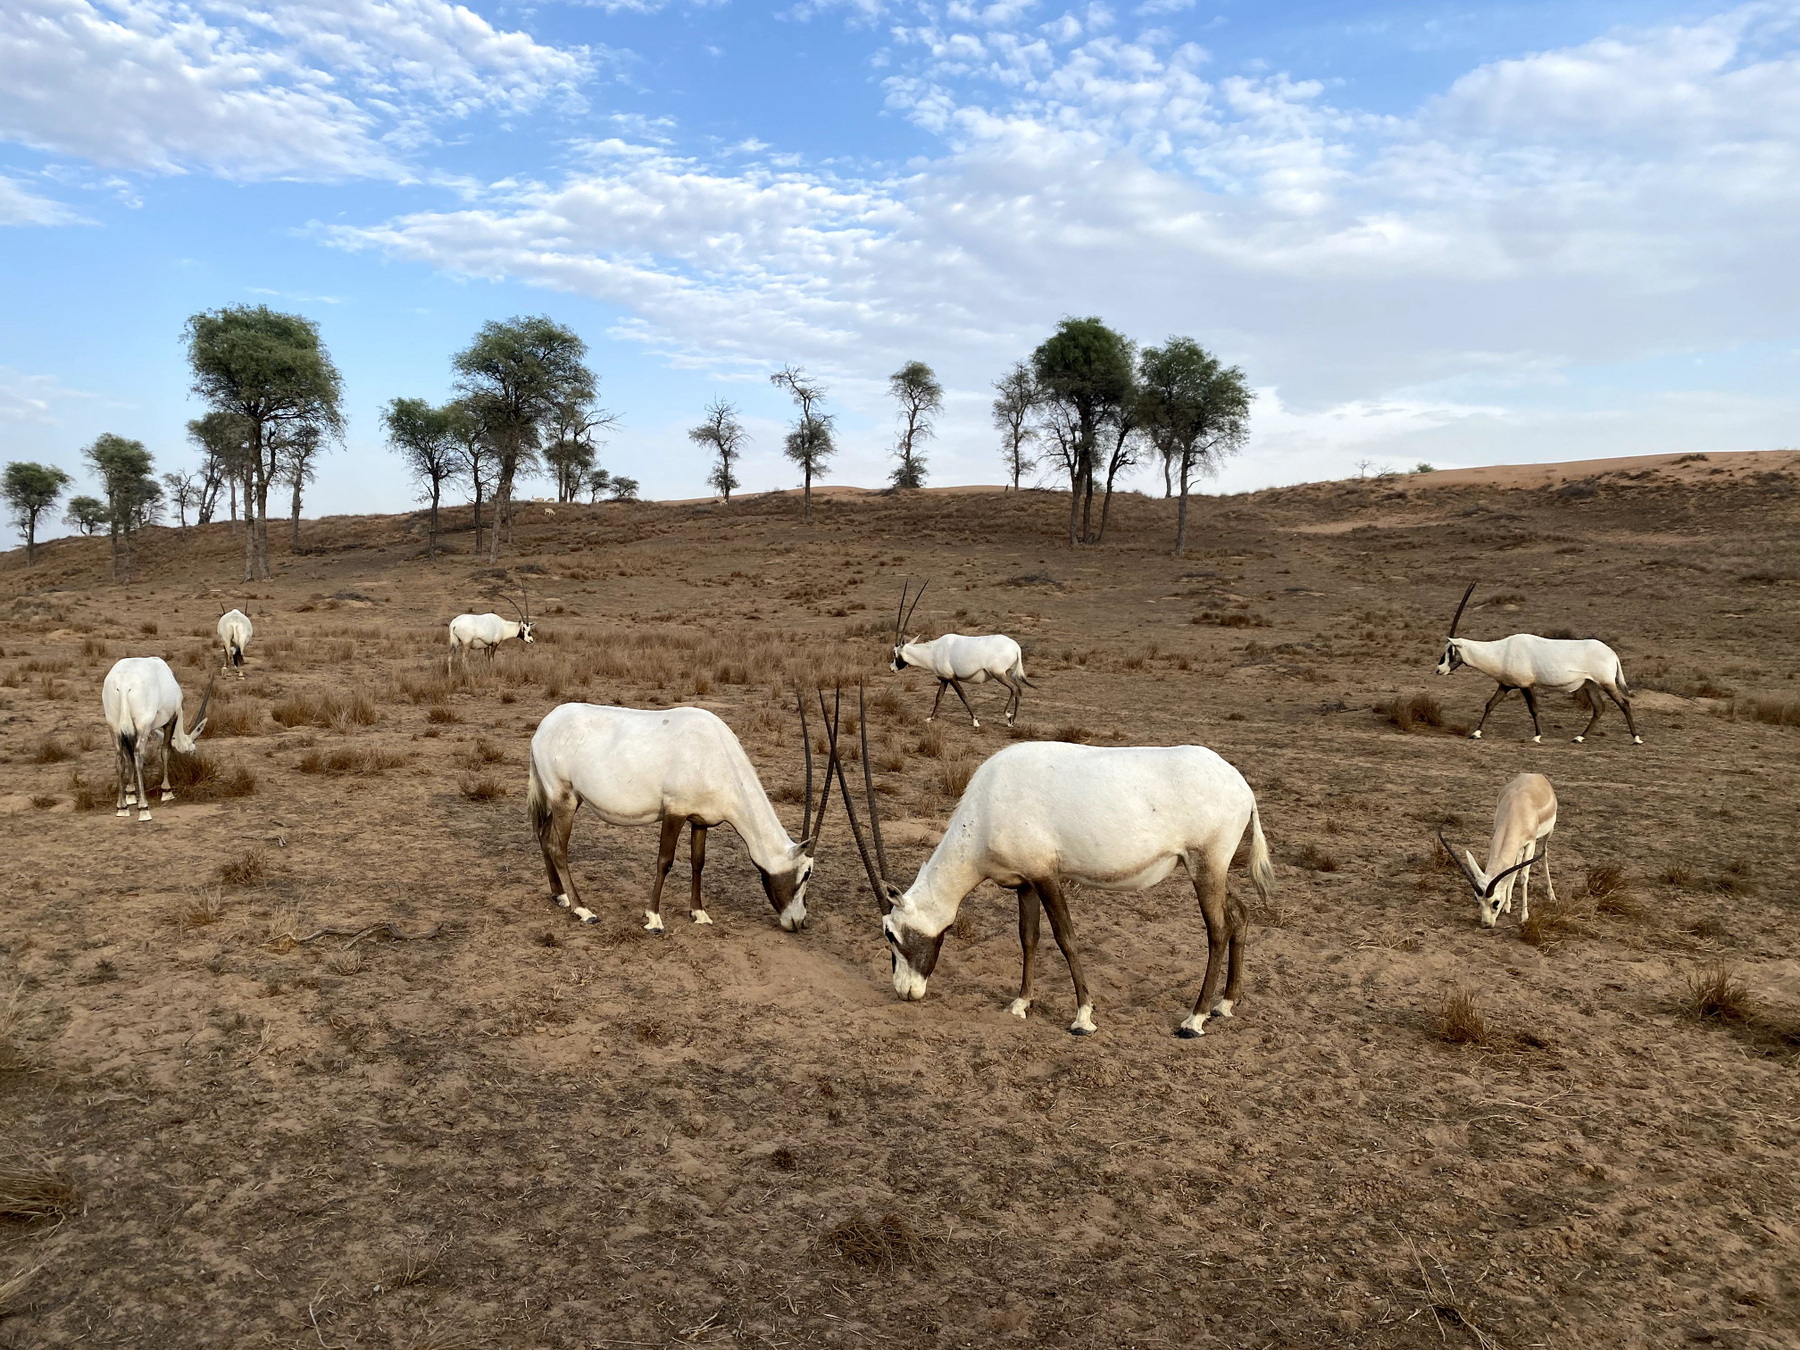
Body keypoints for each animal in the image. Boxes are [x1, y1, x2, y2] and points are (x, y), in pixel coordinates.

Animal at [882, 583, 1029, 730]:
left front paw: (975, 721)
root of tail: (1016, 647)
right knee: (1018, 688)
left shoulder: (951, 677)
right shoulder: (944, 678)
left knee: (1014, 688)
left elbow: (963, 696)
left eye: (894, 653)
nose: (891, 668)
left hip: (998, 673)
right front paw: (930, 718)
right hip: (1007, 673)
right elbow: (939, 697)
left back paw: (1009, 717)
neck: (933, 651)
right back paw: (1011, 720)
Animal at [1440, 586, 1641, 745]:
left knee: (1624, 703)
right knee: (1599, 708)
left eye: (1450, 650)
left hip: (1606, 682)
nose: (1439, 669)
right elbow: (1490, 704)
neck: (1502, 651)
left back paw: (1636, 738)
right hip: (1589, 684)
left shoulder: (1526, 684)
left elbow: (1534, 709)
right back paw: (1579, 737)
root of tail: (1612, 654)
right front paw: (1476, 733)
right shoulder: (1506, 685)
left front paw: (1537, 736)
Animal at [1440, 770, 1555, 928]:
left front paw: (1524, 917)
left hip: (1547, 833)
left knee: (1544, 853)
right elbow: (1511, 871)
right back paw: (1508, 905)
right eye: (1477, 900)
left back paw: (1551, 895)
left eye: (1496, 902)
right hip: (1518, 847)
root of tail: (1535, 775)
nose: (1486, 924)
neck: (1517, 809)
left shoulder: (1530, 843)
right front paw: (1507, 905)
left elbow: (1524, 877)